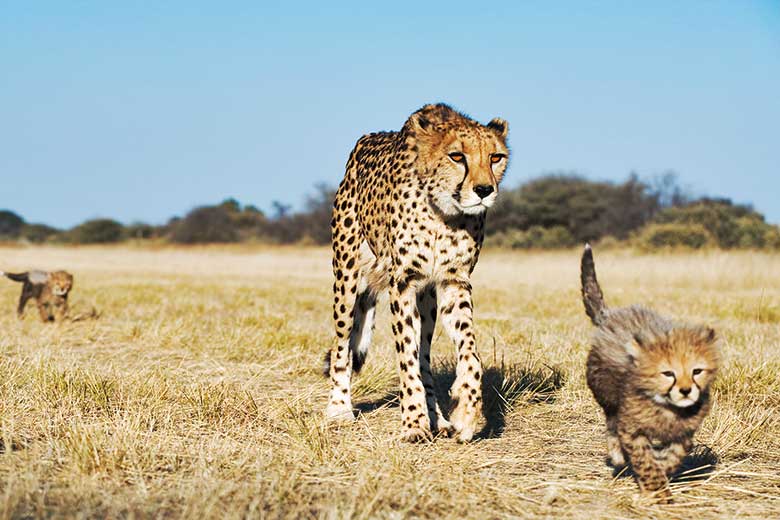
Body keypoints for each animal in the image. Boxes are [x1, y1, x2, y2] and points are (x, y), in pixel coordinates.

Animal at [326, 103, 508, 440]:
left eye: (495, 157)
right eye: (457, 156)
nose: (484, 190)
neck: (442, 212)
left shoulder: (453, 281)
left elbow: (469, 352)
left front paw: (464, 412)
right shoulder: (403, 283)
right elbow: (405, 357)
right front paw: (414, 423)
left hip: (428, 301)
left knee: (425, 355)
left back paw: (440, 419)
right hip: (346, 277)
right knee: (342, 345)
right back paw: (339, 408)